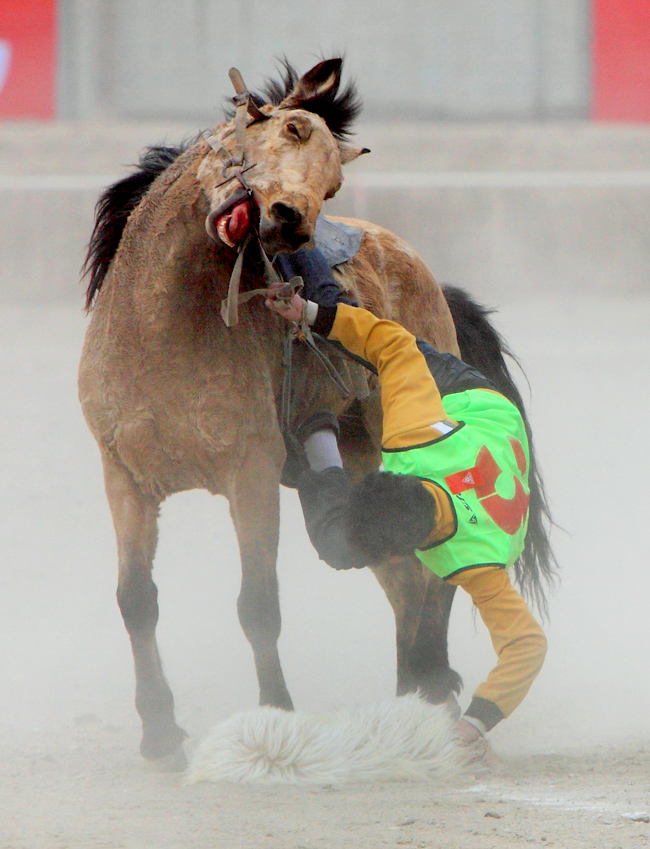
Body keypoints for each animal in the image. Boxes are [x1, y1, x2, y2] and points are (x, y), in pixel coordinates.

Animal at [77, 59, 552, 768]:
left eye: (334, 182)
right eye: (292, 128)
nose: (290, 220)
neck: (163, 329)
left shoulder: (249, 475)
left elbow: (258, 606)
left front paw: (274, 716)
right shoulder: (124, 476)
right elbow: (136, 600)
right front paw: (159, 734)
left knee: (424, 579)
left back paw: (424, 692)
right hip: (360, 471)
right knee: (403, 577)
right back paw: (414, 694)